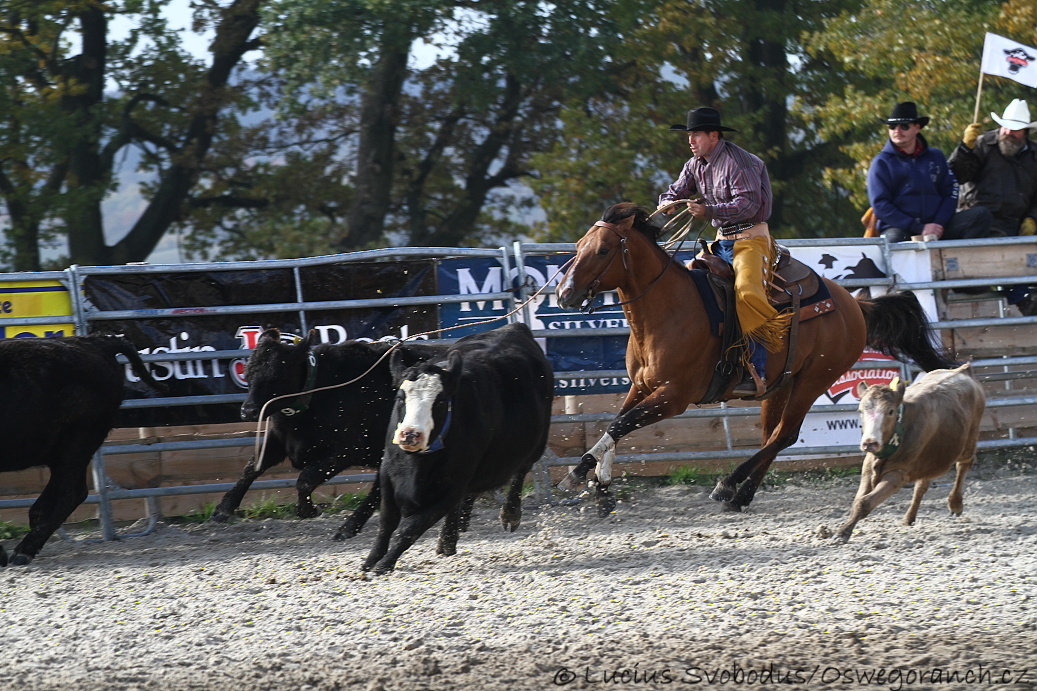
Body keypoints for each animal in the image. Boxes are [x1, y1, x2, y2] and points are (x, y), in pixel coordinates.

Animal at [0, 334, 157, 564]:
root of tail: (94, 342)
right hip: (65, 451)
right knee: (57, 496)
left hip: (79, 441)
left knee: (70, 494)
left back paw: (24, 551)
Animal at [214, 327, 445, 539]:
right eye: (248, 373)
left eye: (278, 375)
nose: (248, 410)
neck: (321, 389)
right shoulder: (280, 438)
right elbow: (252, 467)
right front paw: (224, 508)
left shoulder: (345, 451)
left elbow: (306, 479)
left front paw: (308, 510)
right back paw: (350, 527)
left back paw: (349, 527)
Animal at [360, 323, 555, 568]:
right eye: (400, 397)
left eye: (440, 401)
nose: (410, 435)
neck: (417, 462)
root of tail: (514, 327)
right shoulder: (388, 472)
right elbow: (387, 521)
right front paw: (371, 560)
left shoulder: (453, 485)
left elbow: (410, 528)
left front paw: (384, 564)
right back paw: (447, 541)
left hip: (534, 445)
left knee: (520, 472)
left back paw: (509, 515)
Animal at [555, 202, 949, 514]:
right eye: (578, 246)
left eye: (604, 250)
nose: (564, 292)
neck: (668, 311)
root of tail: (854, 303)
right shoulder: (641, 387)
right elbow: (617, 424)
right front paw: (601, 487)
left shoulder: (673, 397)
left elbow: (620, 425)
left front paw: (579, 475)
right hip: (780, 384)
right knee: (772, 435)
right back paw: (740, 495)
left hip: (815, 378)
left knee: (786, 434)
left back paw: (729, 484)